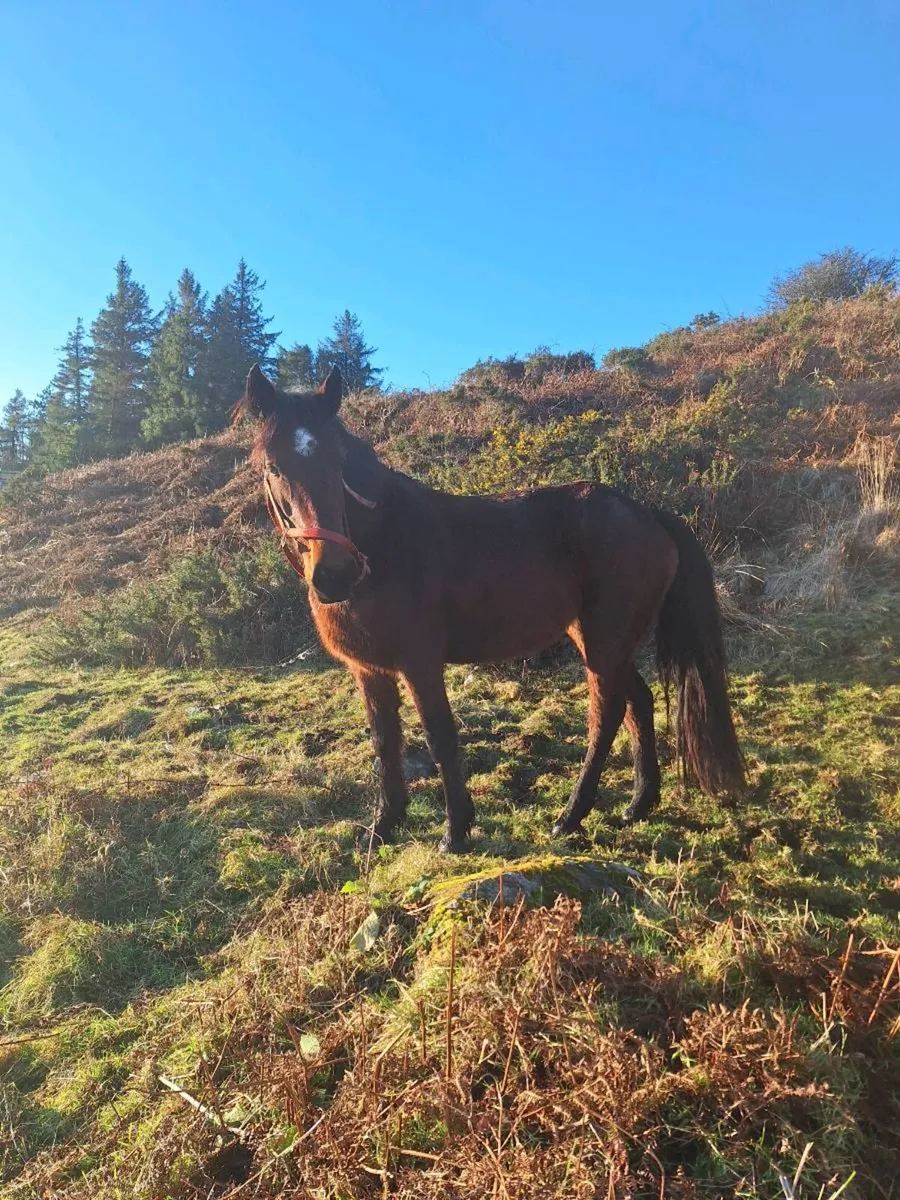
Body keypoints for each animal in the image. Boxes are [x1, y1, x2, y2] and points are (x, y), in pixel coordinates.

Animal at [235, 364, 744, 853]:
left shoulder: (420, 663)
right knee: (638, 701)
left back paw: (571, 816)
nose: (335, 573)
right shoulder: (369, 669)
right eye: (273, 466)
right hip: (598, 639)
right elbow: (384, 742)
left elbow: (439, 737)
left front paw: (456, 831)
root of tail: (646, 513)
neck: (384, 543)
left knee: (607, 715)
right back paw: (638, 804)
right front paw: (384, 826)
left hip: (606, 640)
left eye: (338, 460)